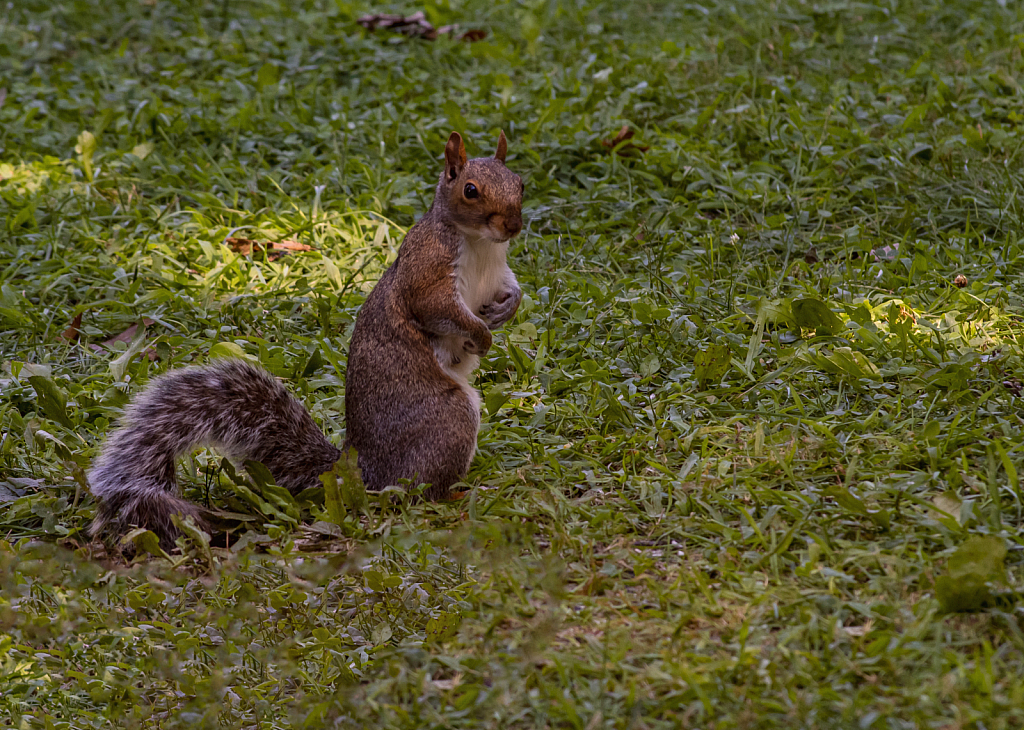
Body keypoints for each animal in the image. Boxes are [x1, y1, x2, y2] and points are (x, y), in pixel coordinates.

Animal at [89, 131, 524, 544]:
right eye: (470, 190)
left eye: (520, 182)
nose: (513, 226)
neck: (482, 245)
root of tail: (360, 472)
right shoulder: (428, 269)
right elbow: (437, 308)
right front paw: (481, 336)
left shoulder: (498, 272)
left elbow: (512, 289)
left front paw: (506, 310)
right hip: (447, 420)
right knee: (415, 491)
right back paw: (458, 494)